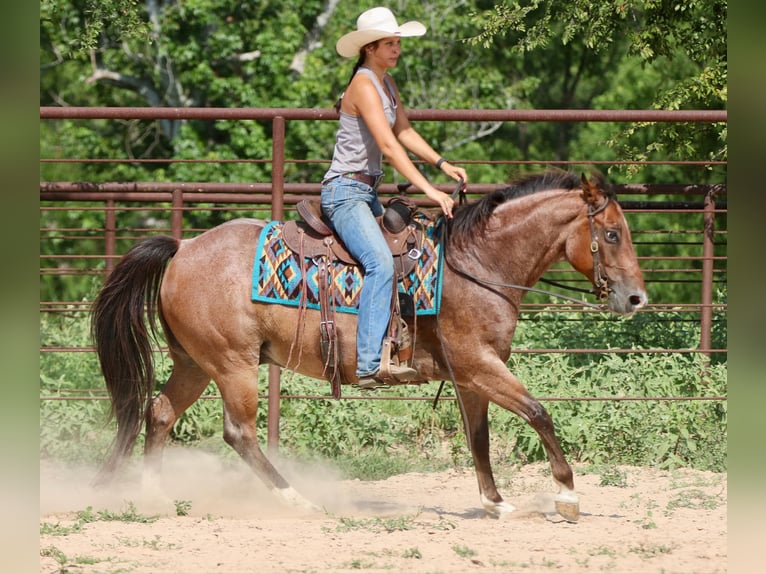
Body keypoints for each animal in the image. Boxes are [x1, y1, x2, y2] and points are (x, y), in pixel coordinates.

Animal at [91, 169, 647, 521]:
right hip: (232, 364)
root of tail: (183, 248)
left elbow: (480, 438)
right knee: (239, 433)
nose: (636, 298)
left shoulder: (471, 376)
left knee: (160, 413)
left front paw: (496, 502)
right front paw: (567, 495)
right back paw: (298, 502)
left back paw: (155, 496)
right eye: (612, 234)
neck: (476, 264)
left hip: (195, 363)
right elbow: (538, 412)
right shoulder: (480, 365)